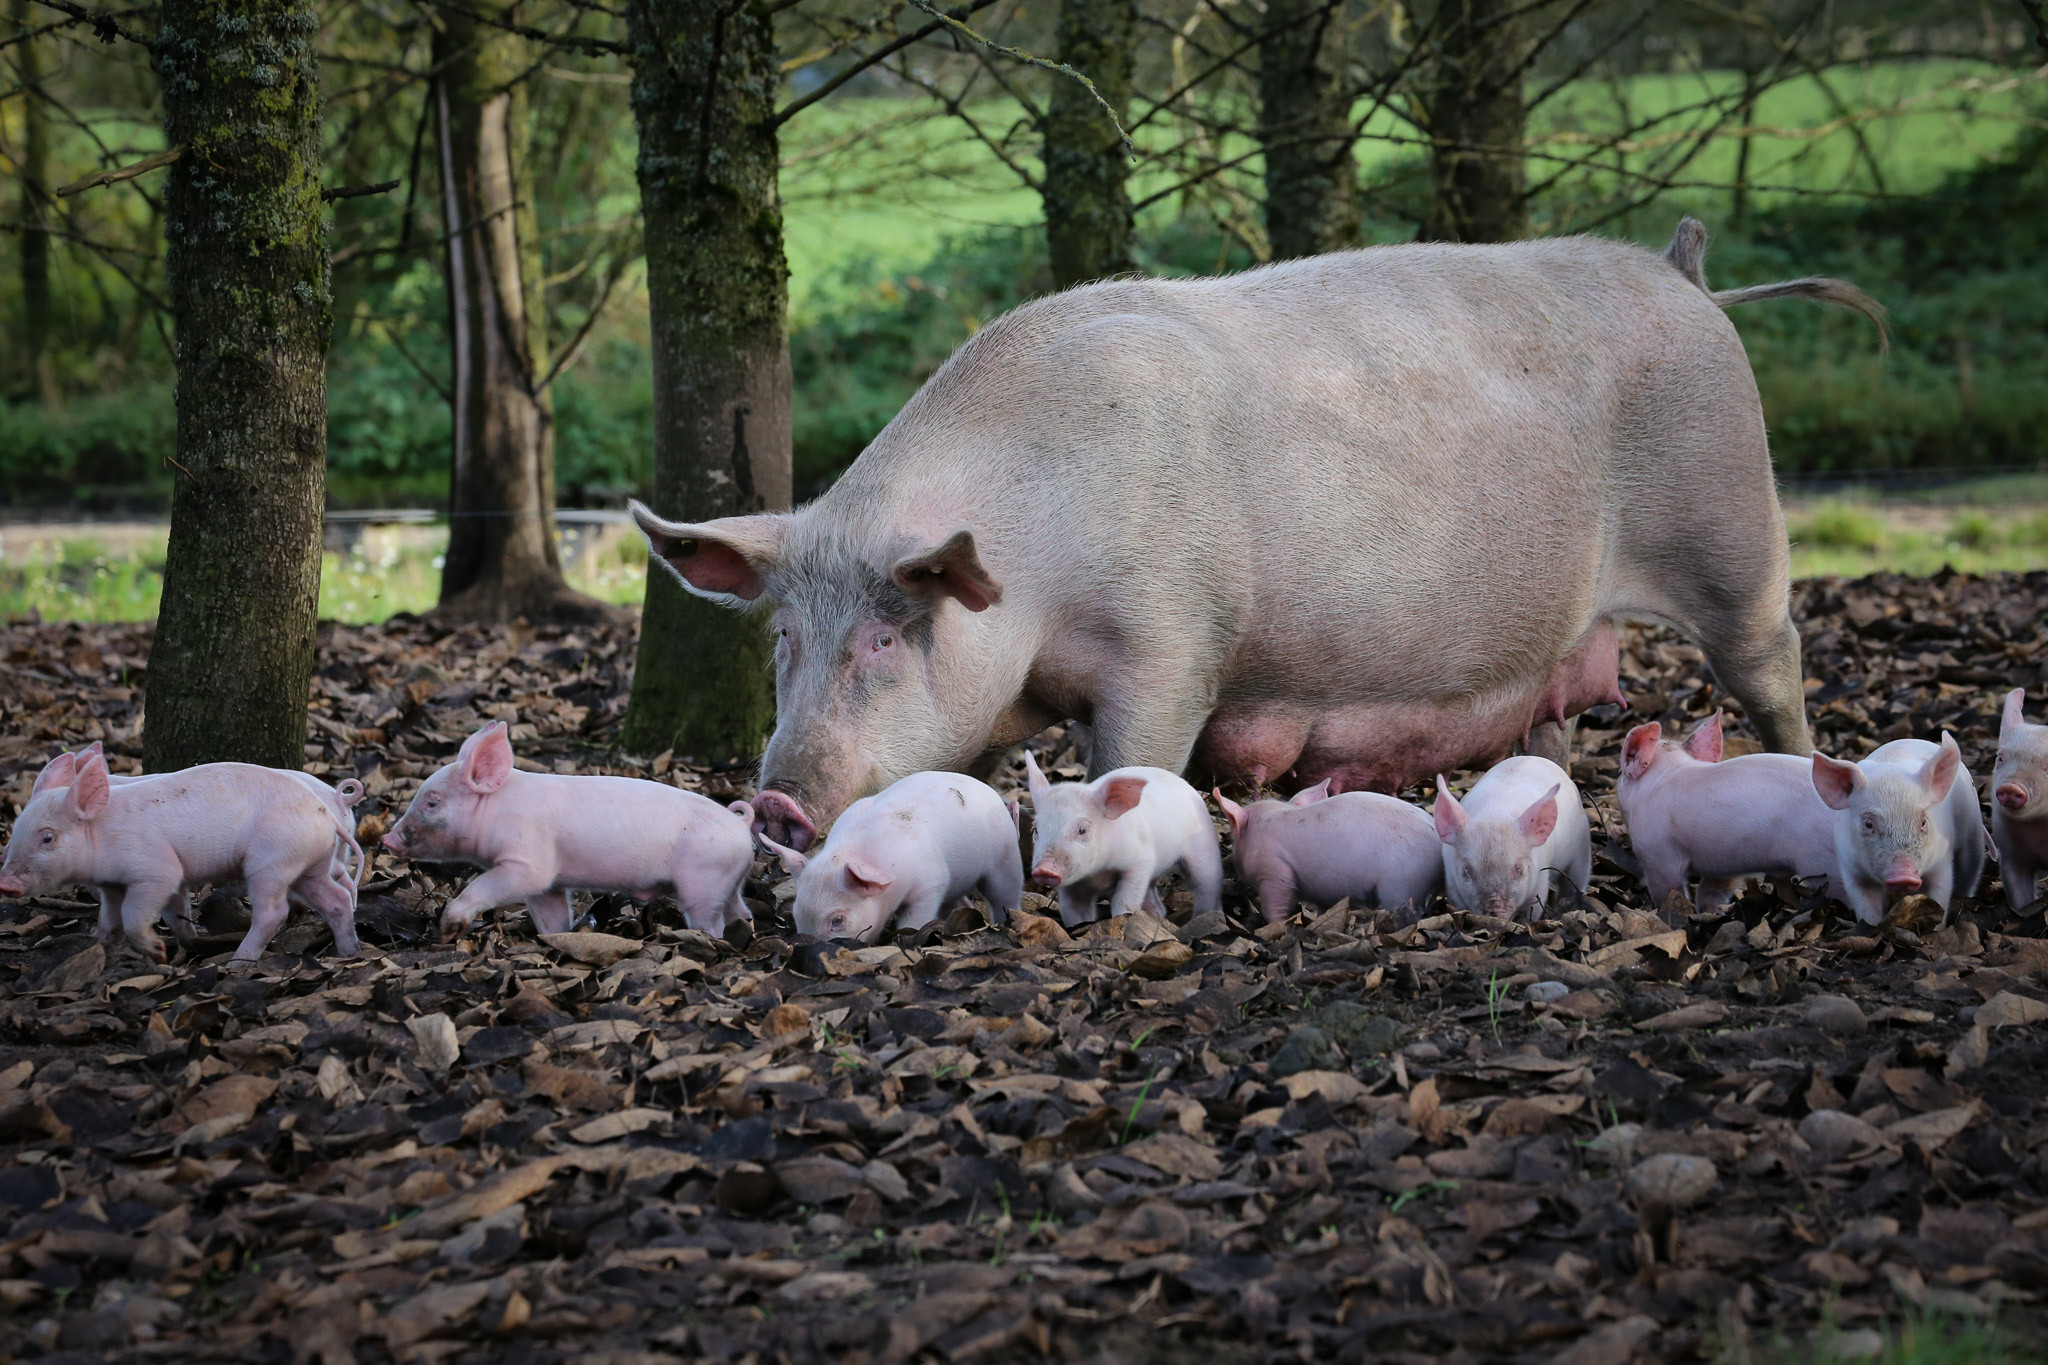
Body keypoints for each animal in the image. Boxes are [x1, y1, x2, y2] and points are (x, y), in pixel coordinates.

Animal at [630, 217, 1875, 847]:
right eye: (783, 639)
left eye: (885, 637)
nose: (776, 797)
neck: (1035, 567)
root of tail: (1690, 281)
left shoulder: (1173, 642)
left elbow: (1132, 758)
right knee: (1549, 728)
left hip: (1733, 530)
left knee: (1772, 665)